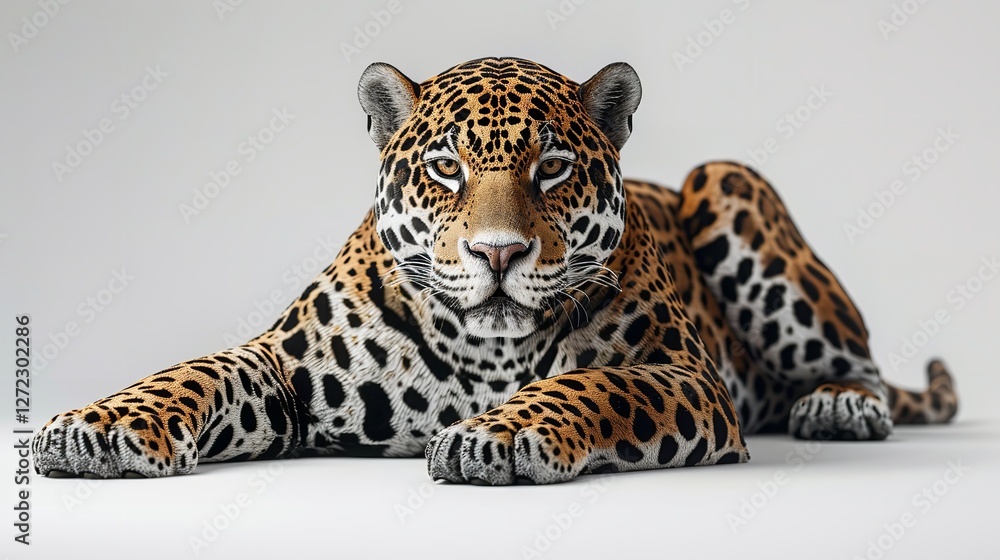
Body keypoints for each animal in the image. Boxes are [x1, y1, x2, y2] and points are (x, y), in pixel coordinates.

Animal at [33, 57, 958, 485]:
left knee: (861, 364)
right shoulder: (284, 364)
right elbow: (195, 372)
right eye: (446, 169)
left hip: (725, 181)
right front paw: (94, 428)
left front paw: (498, 435)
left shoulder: (683, 374)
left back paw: (838, 405)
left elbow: (591, 384)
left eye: (551, 169)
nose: (500, 253)